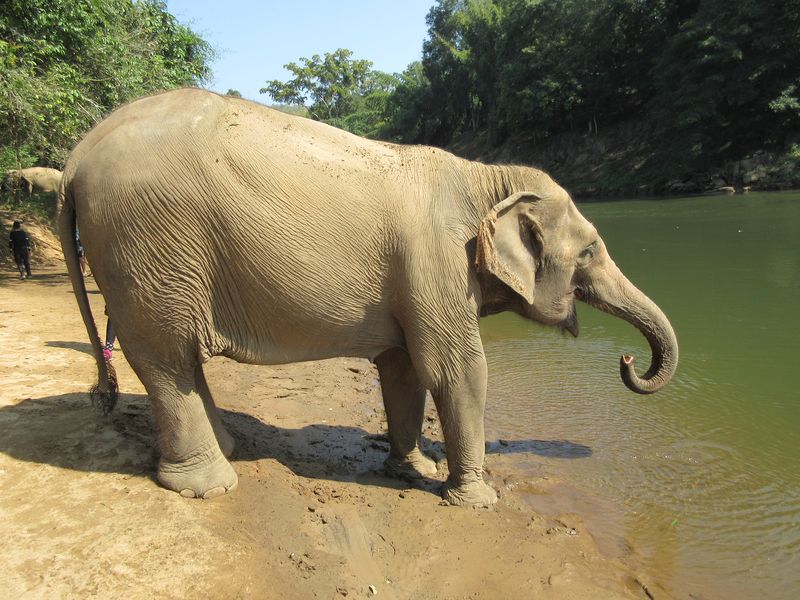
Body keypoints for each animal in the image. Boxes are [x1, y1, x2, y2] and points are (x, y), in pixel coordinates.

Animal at [58, 88, 678, 506]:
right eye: (591, 251)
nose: (628, 360)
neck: (485, 178)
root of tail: (76, 156)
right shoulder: (435, 260)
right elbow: (457, 368)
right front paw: (474, 500)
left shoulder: (417, 279)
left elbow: (403, 365)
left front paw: (413, 470)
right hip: (149, 246)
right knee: (166, 358)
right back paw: (210, 486)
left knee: (179, 362)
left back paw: (227, 449)